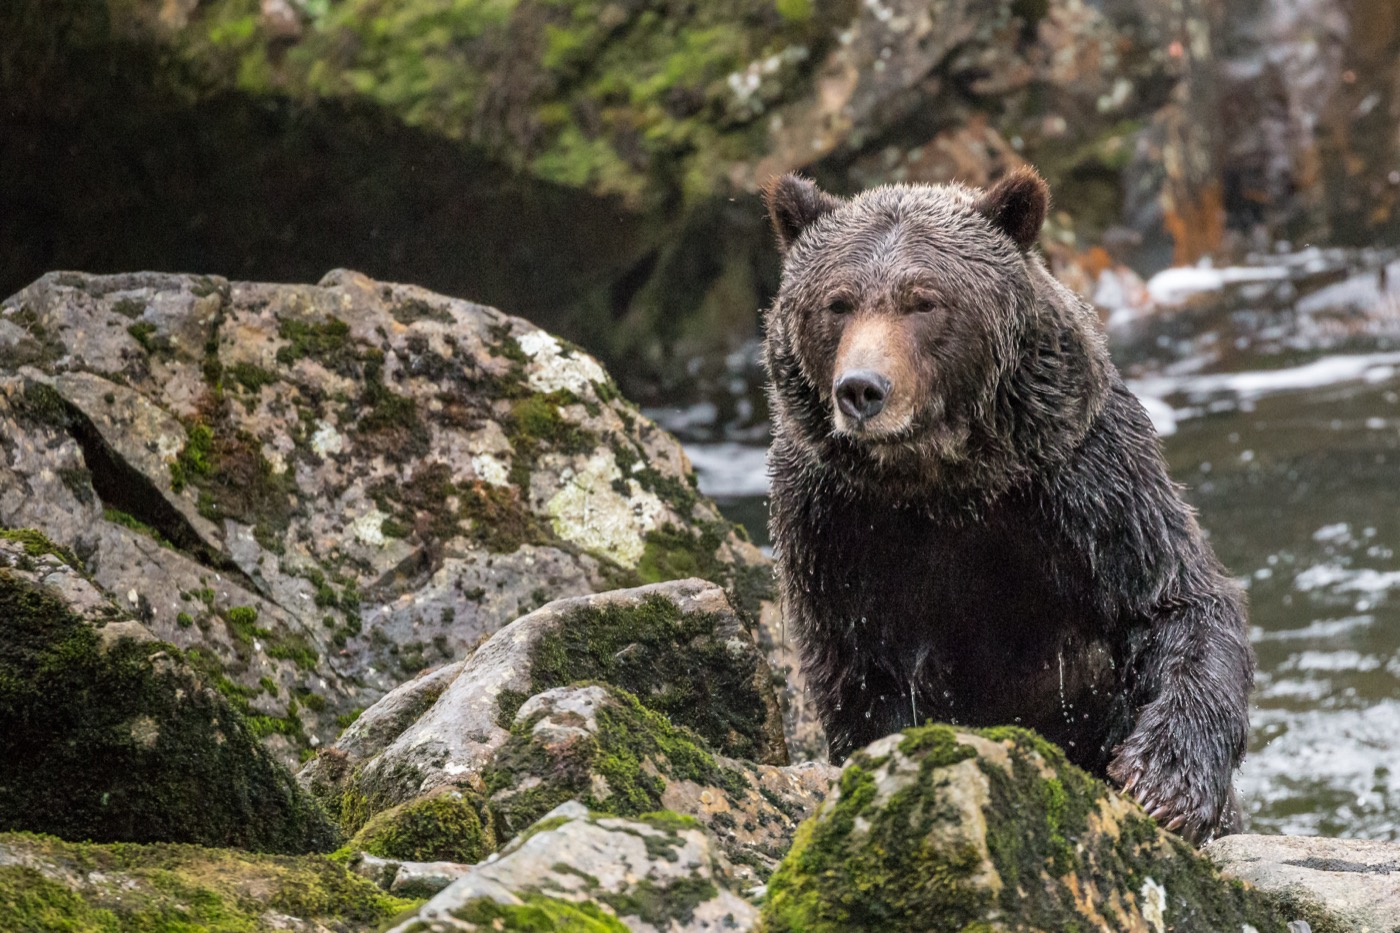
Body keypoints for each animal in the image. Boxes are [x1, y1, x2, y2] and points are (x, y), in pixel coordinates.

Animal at [760, 167, 1254, 843]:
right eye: (837, 303)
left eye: (924, 300)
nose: (862, 388)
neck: (944, 486)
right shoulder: (833, 527)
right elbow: (858, 670)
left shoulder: (1089, 486)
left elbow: (1175, 602)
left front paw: (1164, 781)